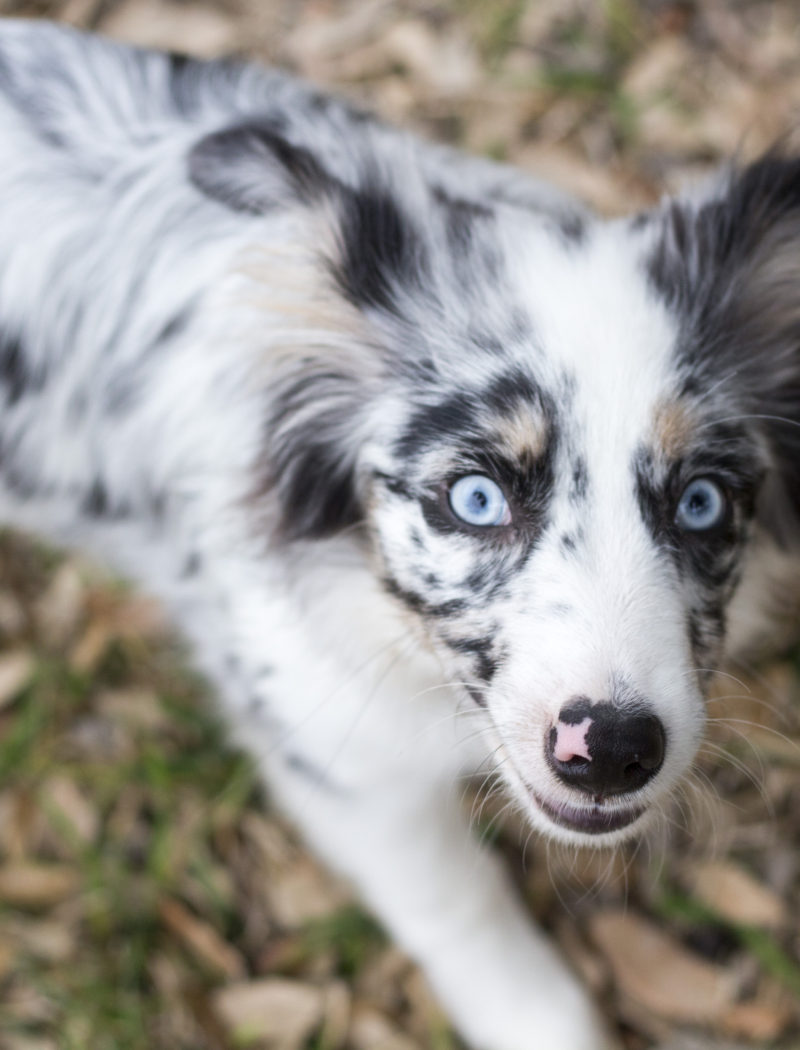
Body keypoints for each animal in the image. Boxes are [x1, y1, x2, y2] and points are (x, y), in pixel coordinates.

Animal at [1, 18, 797, 1050]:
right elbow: (457, 900)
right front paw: (542, 1020)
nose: (613, 749)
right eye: (476, 499)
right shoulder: (331, 744)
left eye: (701, 502)